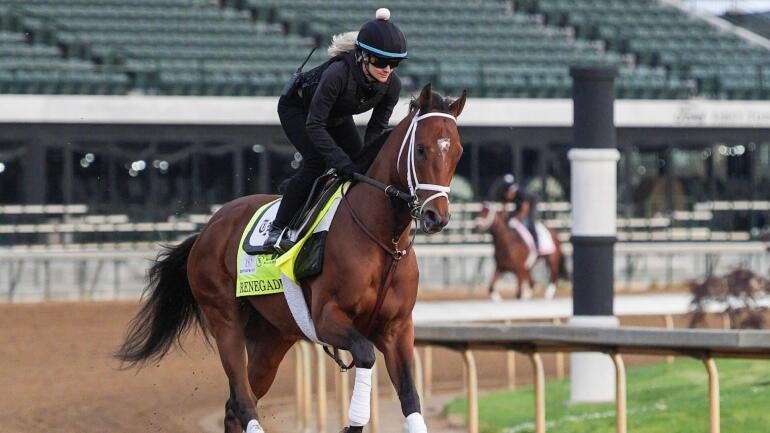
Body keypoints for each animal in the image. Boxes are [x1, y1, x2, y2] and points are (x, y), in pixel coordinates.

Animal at [115, 84, 466, 433]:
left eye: (458, 152)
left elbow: (410, 396)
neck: (382, 240)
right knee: (243, 400)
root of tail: (208, 229)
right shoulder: (326, 318)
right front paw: (353, 424)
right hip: (223, 319)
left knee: (234, 407)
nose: (437, 216)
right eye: (420, 149)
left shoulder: (397, 329)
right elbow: (366, 355)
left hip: (272, 337)